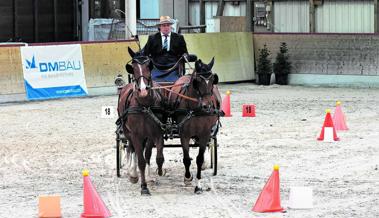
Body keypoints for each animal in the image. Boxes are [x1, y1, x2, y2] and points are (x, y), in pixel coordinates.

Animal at [118, 47, 166, 194]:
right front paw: (143, 187)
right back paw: (133, 174)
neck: (145, 105)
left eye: (148, 66)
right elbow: (141, 161)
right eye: (133, 68)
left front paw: (156, 174)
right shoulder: (136, 135)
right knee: (131, 149)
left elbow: (154, 156)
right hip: (127, 132)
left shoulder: (155, 133)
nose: (143, 90)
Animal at [168, 58, 221, 194]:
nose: (207, 106)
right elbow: (186, 158)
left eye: (213, 80)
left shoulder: (205, 134)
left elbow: (199, 158)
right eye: (198, 81)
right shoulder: (184, 134)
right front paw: (187, 177)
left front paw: (198, 185)